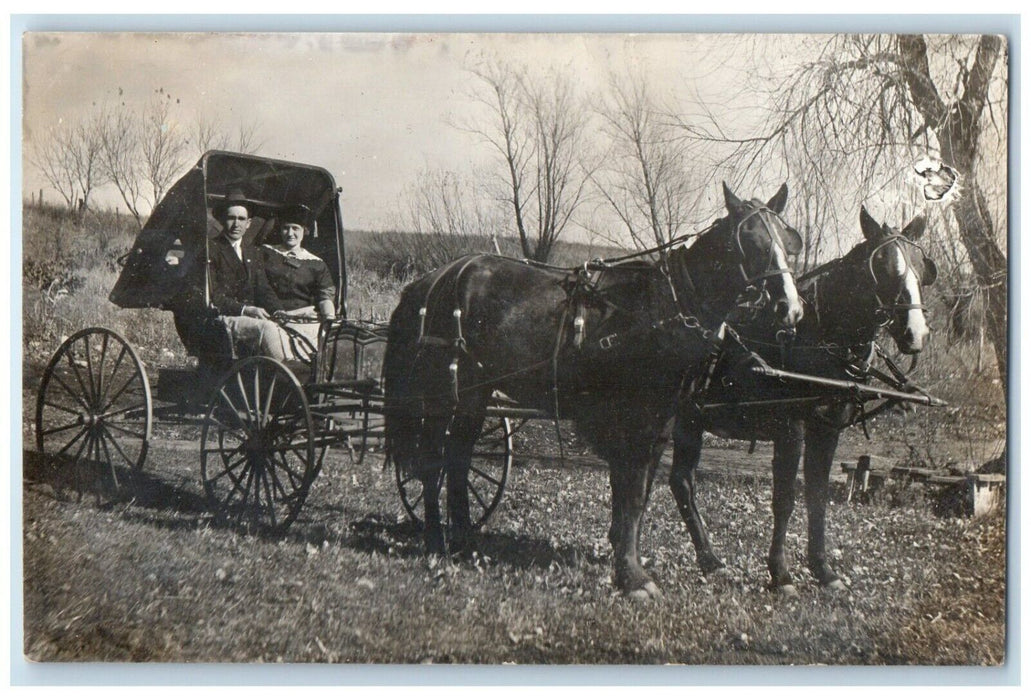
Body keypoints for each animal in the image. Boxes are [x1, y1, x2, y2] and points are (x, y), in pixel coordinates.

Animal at [385, 180, 804, 597]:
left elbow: (639, 495)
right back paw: (436, 540)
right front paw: (633, 576)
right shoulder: (638, 421)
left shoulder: (662, 424)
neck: (662, 307)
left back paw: (464, 541)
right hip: (445, 394)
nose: (791, 308)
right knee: (433, 463)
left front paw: (625, 558)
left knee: (458, 456)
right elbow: (631, 495)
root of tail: (429, 282)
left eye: (787, 240)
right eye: (749, 241)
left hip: (475, 395)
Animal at [672, 205, 940, 593]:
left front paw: (823, 569)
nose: (915, 333)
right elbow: (785, 500)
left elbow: (817, 498)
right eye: (885, 266)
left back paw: (708, 560)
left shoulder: (827, 430)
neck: (816, 334)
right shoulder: (791, 429)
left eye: (922, 267)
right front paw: (781, 573)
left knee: (680, 481)